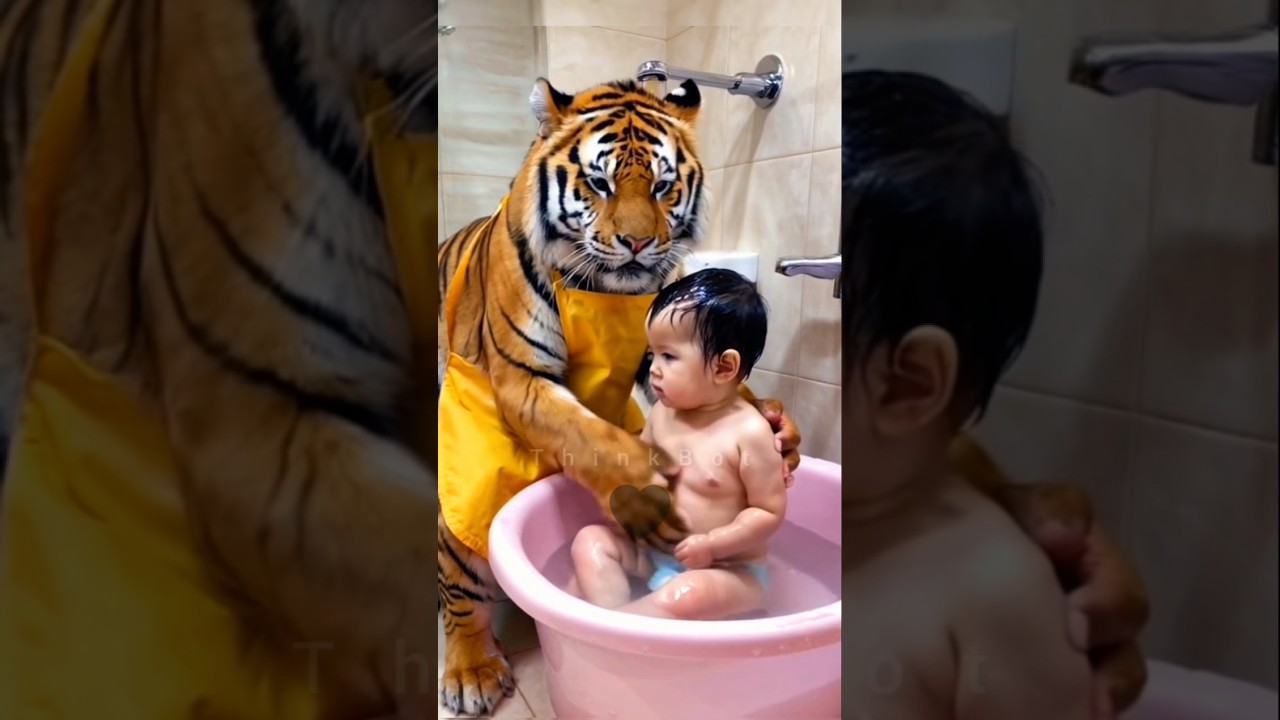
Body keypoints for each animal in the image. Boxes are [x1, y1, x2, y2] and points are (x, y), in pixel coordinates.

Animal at [435, 76, 804, 717]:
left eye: (661, 185)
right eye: (599, 183)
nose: (636, 243)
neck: (608, 291)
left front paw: (779, 429)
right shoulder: (523, 375)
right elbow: (592, 435)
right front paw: (644, 497)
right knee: (461, 584)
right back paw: (473, 669)